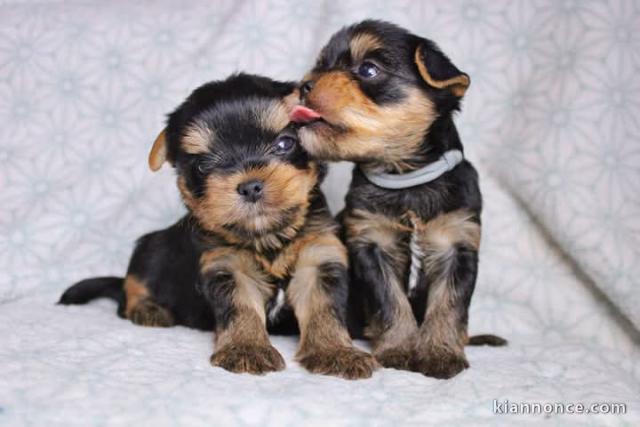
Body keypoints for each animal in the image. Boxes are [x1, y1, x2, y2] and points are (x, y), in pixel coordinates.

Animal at [57, 73, 378, 382]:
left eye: (285, 143)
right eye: (202, 165)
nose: (250, 186)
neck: (267, 235)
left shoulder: (318, 253)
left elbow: (323, 308)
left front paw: (335, 351)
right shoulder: (226, 264)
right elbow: (241, 306)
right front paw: (246, 348)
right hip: (151, 249)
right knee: (132, 287)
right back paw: (148, 309)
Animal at [290, 21, 504, 380]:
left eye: (368, 70)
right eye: (320, 66)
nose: (303, 86)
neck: (405, 178)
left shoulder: (457, 242)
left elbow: (448, 303)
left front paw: (439, 353)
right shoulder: (372, 243)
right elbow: (390, 300)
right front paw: (400, 349)